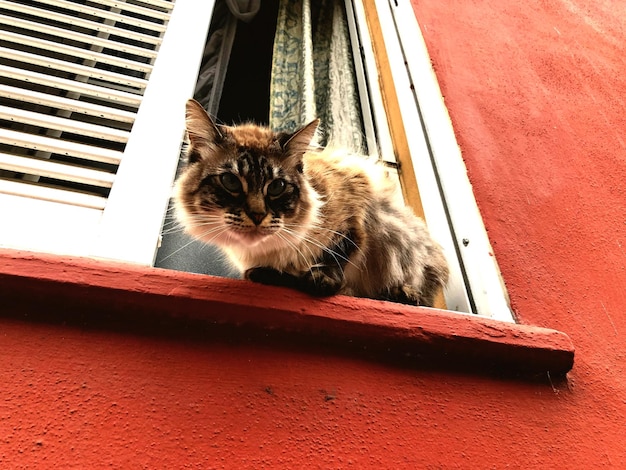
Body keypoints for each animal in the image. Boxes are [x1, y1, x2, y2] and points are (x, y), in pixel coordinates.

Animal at [174, 97, 448, 306]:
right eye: (230, 182)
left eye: (276, 187)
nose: (257, 215)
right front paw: (271, 275)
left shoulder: (354, 205)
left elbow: (339, 251)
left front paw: (321, 280)